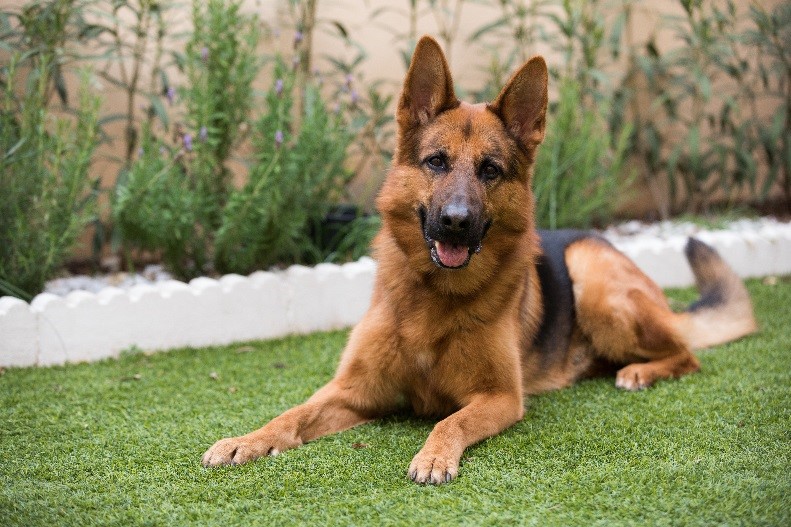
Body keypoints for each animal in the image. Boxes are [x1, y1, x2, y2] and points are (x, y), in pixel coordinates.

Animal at [201, 35, 756, 484]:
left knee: (686, 352)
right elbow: (291, 413)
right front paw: (246, 440)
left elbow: (451, 419)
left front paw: (433, 456)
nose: (455, 221)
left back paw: (640, 371)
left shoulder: (500, 398)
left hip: (595, 282)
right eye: (436, 162)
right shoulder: (350, 392)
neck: (433, 297)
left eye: (490, 170)